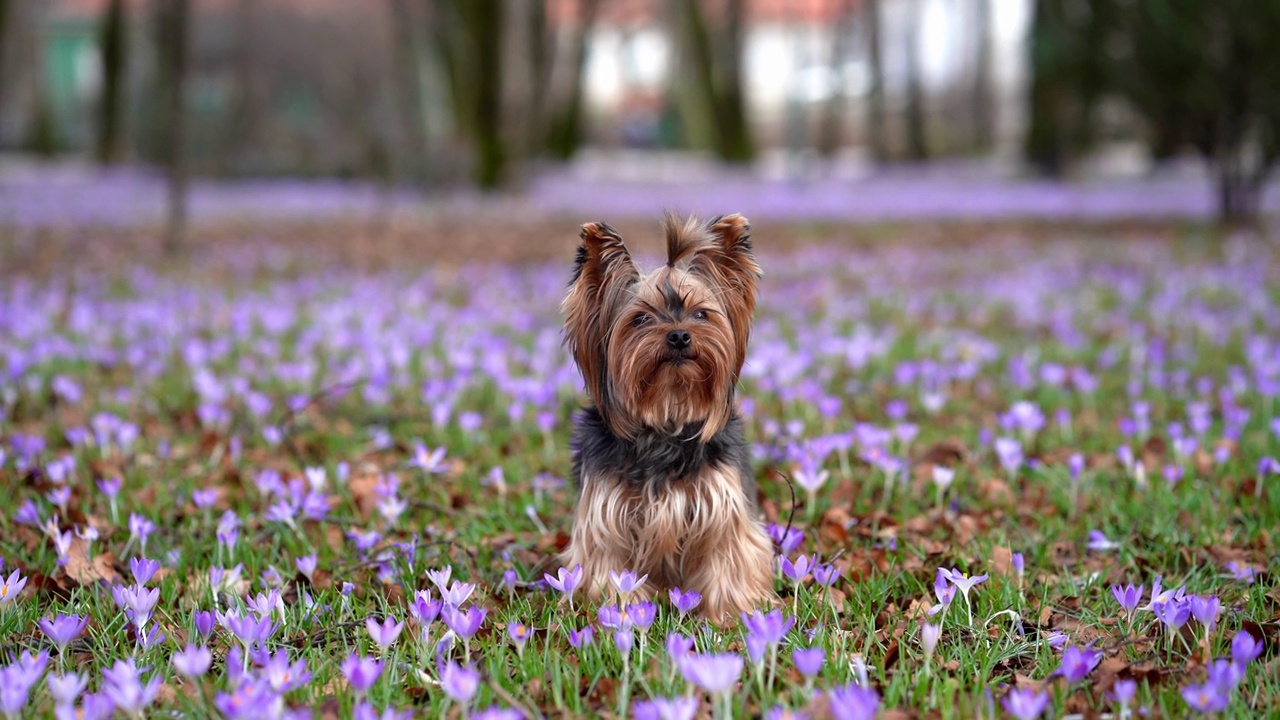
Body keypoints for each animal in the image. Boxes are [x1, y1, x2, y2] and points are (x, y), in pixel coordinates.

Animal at [558, 211, 768, 617]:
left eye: (701, 313)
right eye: (641, 318)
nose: (680, 336)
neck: (667, 415)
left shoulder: (721, 505)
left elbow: (727, 556)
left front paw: (729, 618)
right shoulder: (607, 514)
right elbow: (610, 565)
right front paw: (623, 614)